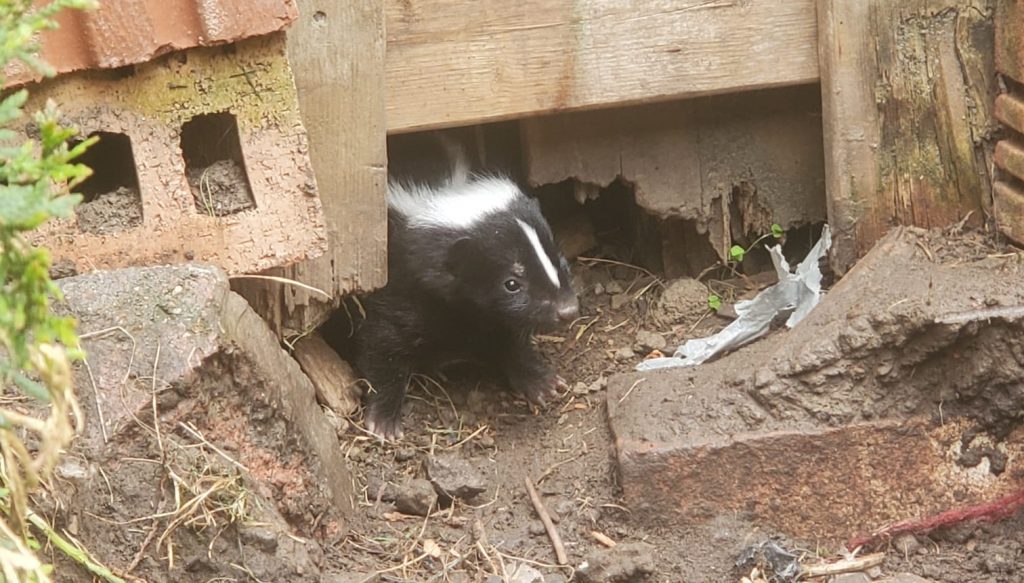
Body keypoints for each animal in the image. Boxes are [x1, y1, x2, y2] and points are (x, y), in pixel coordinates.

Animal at [329, 143, 581, 438]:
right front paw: (383, 419)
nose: (567, 309)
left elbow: (508, 333)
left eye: (560, 261)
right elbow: (381, 344)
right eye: (511, 284)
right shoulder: (394, 285)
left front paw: (540, 380)